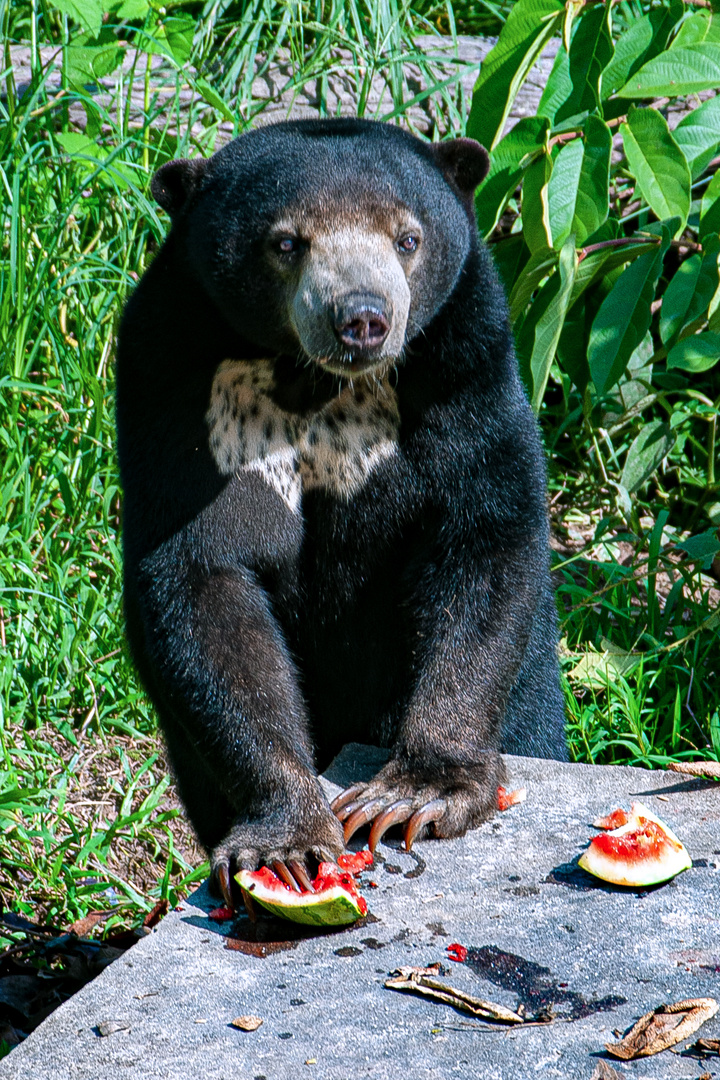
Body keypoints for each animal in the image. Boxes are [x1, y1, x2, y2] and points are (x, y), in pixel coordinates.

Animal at [117, 120, 569, 902]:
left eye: (408, 237)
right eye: (286, 241)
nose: (362, 318)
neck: (315, 384)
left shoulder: (466, 371)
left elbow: (482, 541)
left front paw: (416, 795)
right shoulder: (172, 387)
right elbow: (203, 578)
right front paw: (288, 839)